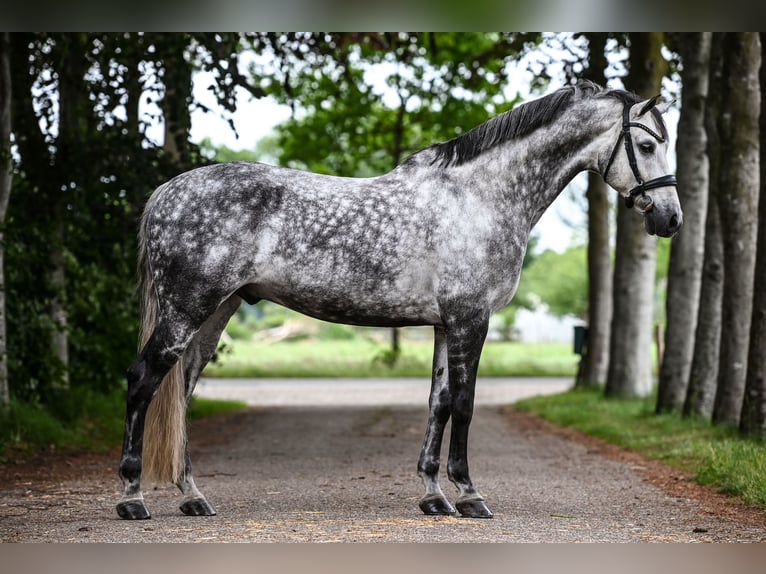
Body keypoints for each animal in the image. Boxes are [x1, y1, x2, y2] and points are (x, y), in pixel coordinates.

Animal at [116, 79, 681, 520]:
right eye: (646, 145)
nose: (670, 219)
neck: (480, 198)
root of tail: (165, 193)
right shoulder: (471, 319)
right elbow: (466, 404)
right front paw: (469, 496)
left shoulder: (445, 324)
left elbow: (439, 403)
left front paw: (434, 496)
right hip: (187, 308)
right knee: (144, 380)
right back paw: (131, 497)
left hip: (217, 312)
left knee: (182, 390)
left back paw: (193, 497)